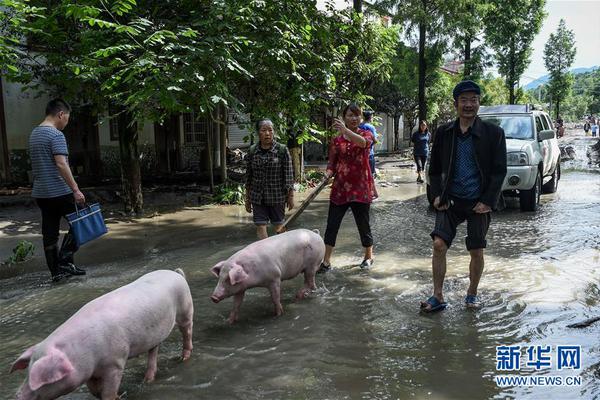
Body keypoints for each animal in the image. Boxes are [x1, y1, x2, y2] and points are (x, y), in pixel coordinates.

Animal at [9, 268, 195, 400]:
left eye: (36, 377)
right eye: (28, 369)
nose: (18, 396)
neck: (80, 352)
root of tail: (176, 273)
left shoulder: (115, 362)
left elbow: (108, 393)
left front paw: (117, 396)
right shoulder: (89, 372)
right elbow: (94, 391)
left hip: (185, 309)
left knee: (187, 331)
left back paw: (184, 358)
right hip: (154, 333)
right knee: (154, 349)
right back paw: (147, 380)